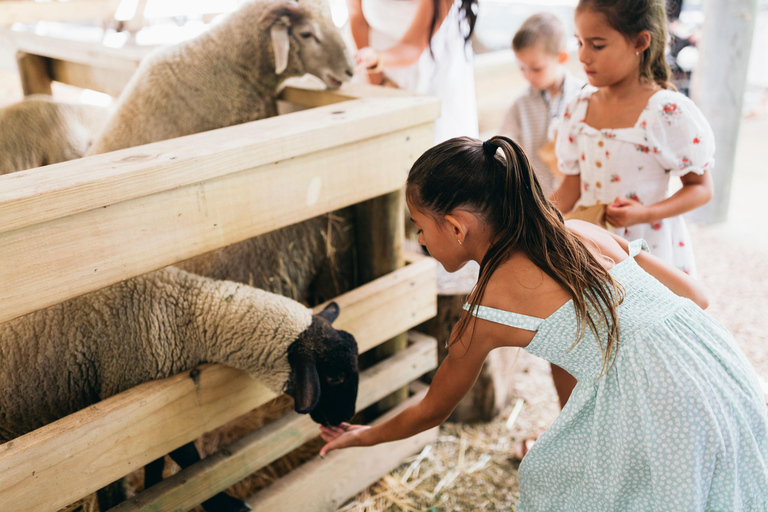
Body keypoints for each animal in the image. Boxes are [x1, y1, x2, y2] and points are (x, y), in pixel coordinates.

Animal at [0, 266, 358, 510]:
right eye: (335, 378)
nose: (345, 419)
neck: (184, 310)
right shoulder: (126, 404)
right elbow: (187, 458)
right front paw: (225, 504)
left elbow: (156, 464)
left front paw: (152, 490)